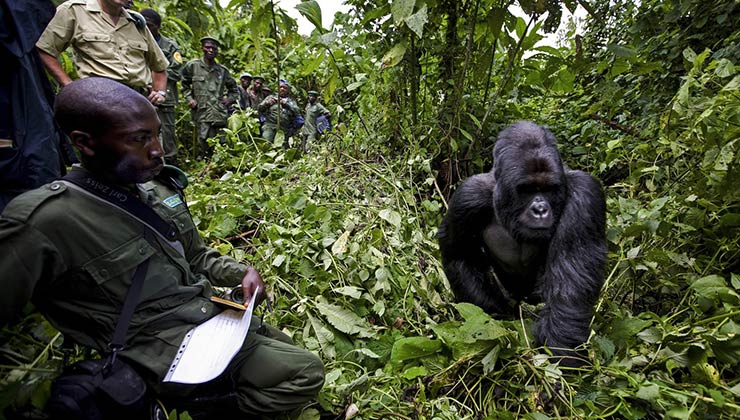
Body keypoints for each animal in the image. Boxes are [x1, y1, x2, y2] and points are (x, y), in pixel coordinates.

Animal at [436, 120, 604, 366]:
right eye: (528, 189)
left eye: (548, 189)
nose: (540, 210)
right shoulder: (468, 196)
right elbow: (460, 256)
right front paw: (495, 318)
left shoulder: (585, 194)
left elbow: (569, 289)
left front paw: (564, 360)